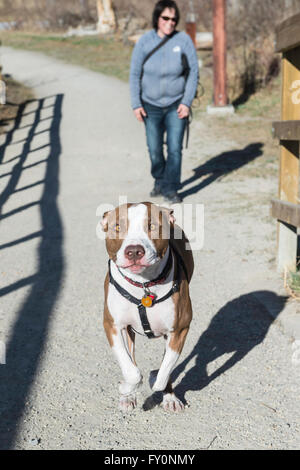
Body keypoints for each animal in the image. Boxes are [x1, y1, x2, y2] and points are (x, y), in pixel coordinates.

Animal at [101, 202, 193, 412]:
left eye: (152, 226)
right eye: (117, 227)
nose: (134, 251)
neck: (143, 285)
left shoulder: (180, 329)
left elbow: (163, 373)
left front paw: (154, 378)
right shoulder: (112, 326)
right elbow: (131, 371)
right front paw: (126, 389)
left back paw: (169, 398)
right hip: (128, 331)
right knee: (132, 359)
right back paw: (129, 396)